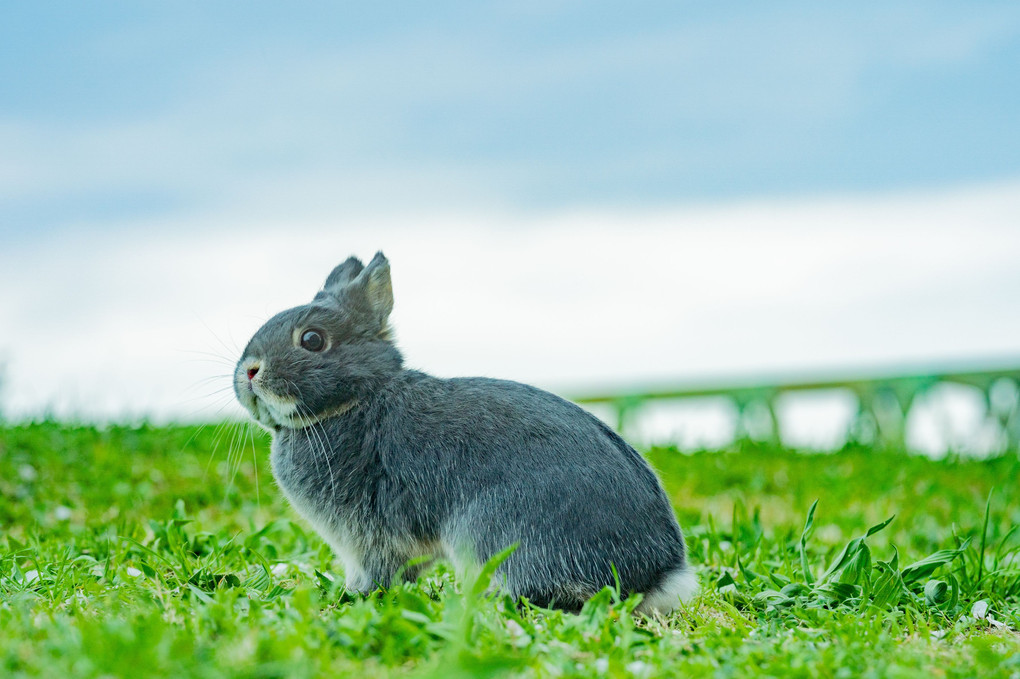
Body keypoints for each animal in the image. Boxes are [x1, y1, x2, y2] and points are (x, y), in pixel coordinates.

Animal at [232, 250, 697, 611]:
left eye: (312, 340)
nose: (250, 371)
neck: (356, 399)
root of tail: (658, 575)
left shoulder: (374, 536)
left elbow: (379, 571)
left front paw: (354, 596)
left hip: (496, 529)